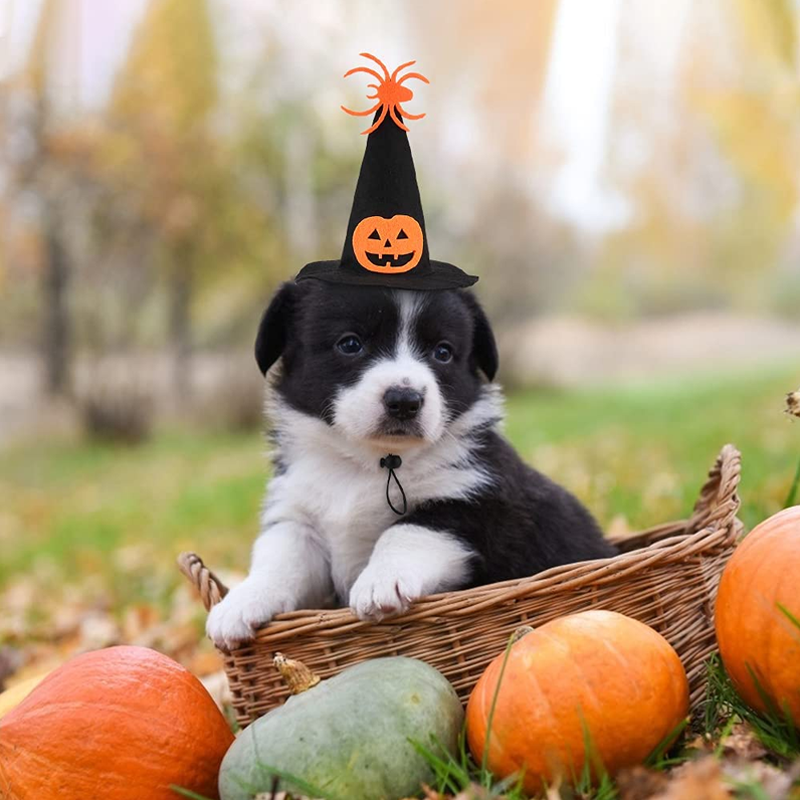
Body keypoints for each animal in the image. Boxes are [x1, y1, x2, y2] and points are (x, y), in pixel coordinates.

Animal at [206, 278, 612, 648]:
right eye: (350, 344)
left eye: (443, 352)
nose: (405, 400)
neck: (370, 462)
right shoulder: (297, 515)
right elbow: (279, 556)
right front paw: (240, 602)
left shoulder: (470, 500)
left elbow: (405, 531)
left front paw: (380, 582)